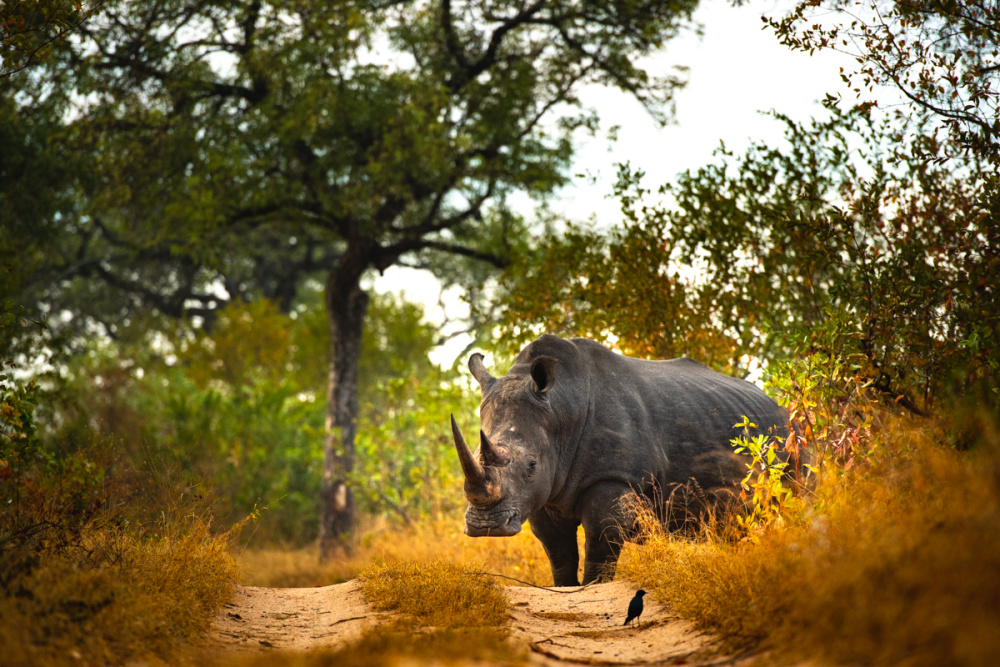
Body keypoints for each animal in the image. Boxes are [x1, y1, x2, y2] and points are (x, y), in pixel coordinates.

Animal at [450, 334, 792, 584]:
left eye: (531, 466)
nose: (486, 526)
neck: (560, 409)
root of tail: (779, 404)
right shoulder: (542, 494)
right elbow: (558, 551)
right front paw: (566, 588)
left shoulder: (613, 475)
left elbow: (601, 541)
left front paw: (592, 589)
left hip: (784, 436)